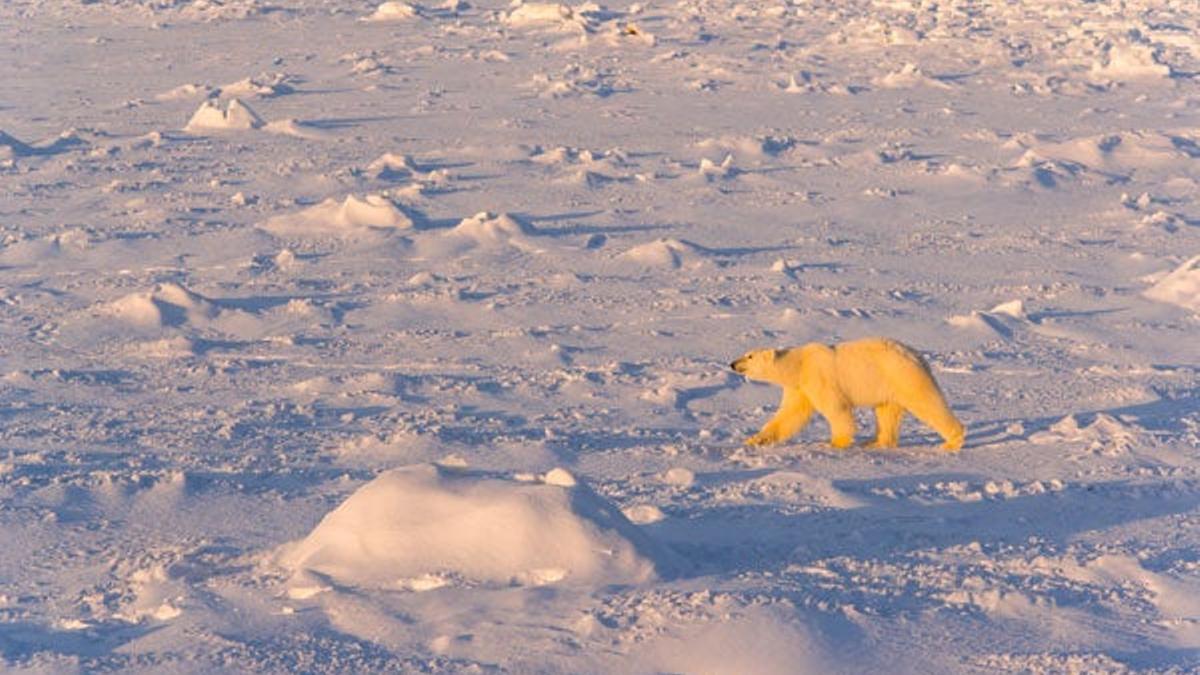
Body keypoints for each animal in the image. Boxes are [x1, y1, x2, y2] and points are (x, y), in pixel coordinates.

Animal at [729, 336, 964, 451]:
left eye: (749, 356)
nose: (732, 363)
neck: (800, 364)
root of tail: (918, 356)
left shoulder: (819, 378)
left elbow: (836, 409)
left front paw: (835, 443)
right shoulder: (800, 388)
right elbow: (790, 415)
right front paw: (755, 439)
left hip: (902, 374)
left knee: (927, 402)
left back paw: (952, 441)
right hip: (888, 384)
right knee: (886, 412)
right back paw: (875, 442)